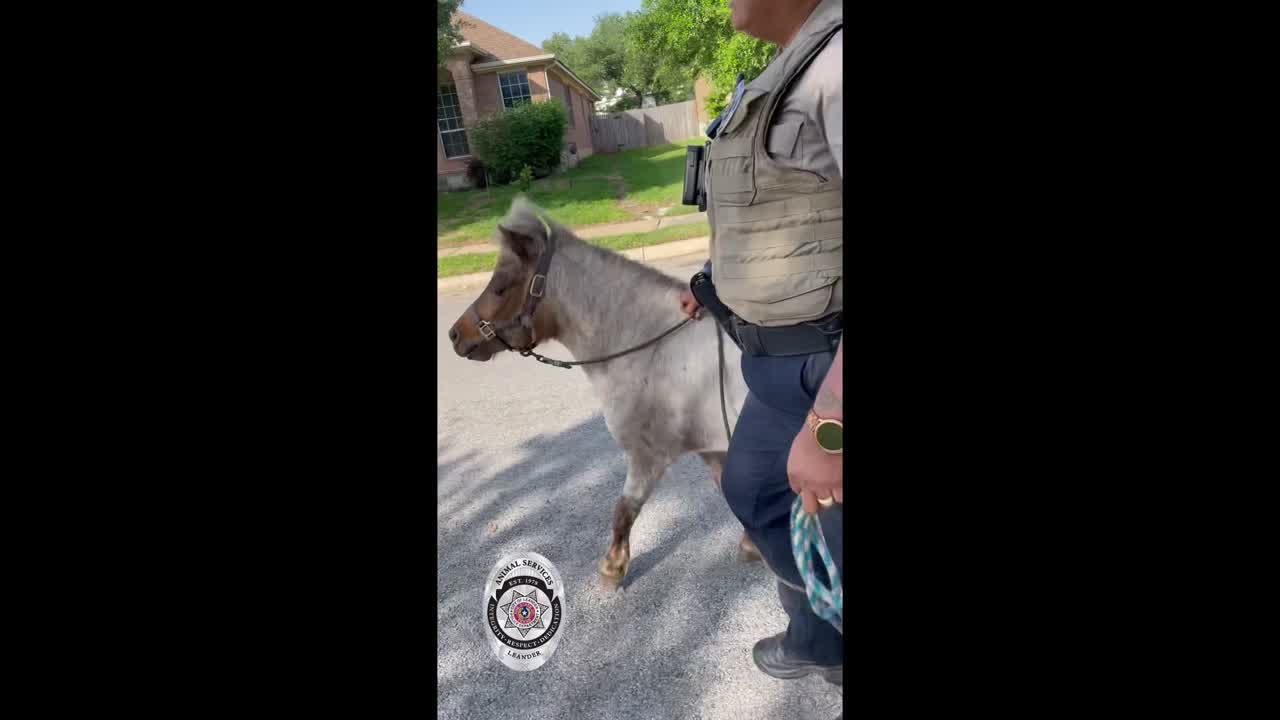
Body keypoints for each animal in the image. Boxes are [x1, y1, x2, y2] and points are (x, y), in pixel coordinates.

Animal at [447, 196, 761, 589]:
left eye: (502, 286)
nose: (455, 334)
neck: (653, 349)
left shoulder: (648, 455)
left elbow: (623, 511)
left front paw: (612, 567)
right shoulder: (712, 448)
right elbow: (734, 495)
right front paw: (754, 545)